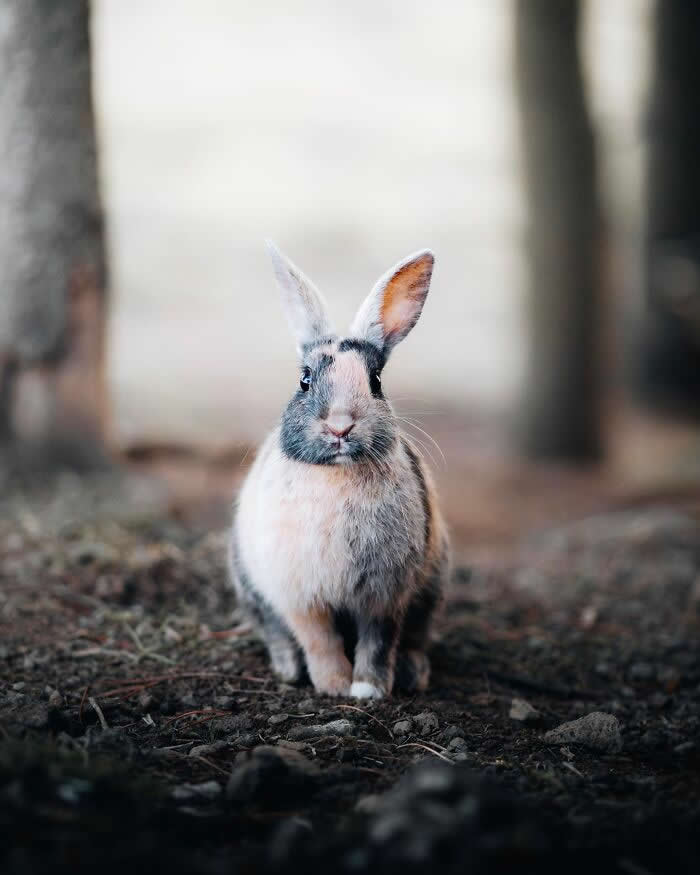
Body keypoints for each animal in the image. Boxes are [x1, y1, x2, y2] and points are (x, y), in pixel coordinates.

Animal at [229, 242, 449, 699]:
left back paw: (414, 674)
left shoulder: (385, 597)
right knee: (275, 633)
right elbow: (320, 639)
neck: (336, 474)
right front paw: (332, 686)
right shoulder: (300, 597)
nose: (340, 425)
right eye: (305, 379)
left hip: (432, 589)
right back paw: (288, 669)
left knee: (416, 637)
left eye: (376, 381)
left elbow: (378, 642)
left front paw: (367, 689)